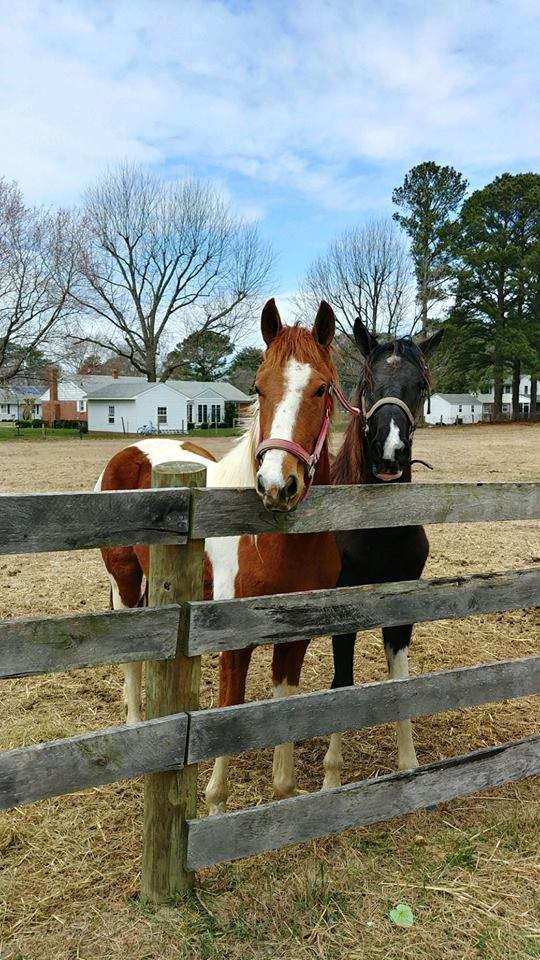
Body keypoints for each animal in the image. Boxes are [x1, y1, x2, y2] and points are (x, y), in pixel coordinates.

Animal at [96, 300, 340, 808]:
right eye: (259, 387)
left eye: (322, 388)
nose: (277, 486)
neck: (275, 544)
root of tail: (130, 450)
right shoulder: (234, 638)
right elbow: (230, 705)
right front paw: (214, 799)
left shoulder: (297, 636)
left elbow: (284, 701)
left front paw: (283, 788)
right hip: (124, 580)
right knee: (131, 654)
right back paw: (136, 730)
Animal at [320, 316, 442, 788]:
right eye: (368, 382)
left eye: (420, 385)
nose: (390, 453)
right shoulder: (341, 612)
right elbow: (341, 683)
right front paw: (331, 779)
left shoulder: (401, 609)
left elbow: (400, 683)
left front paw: (408, 765)